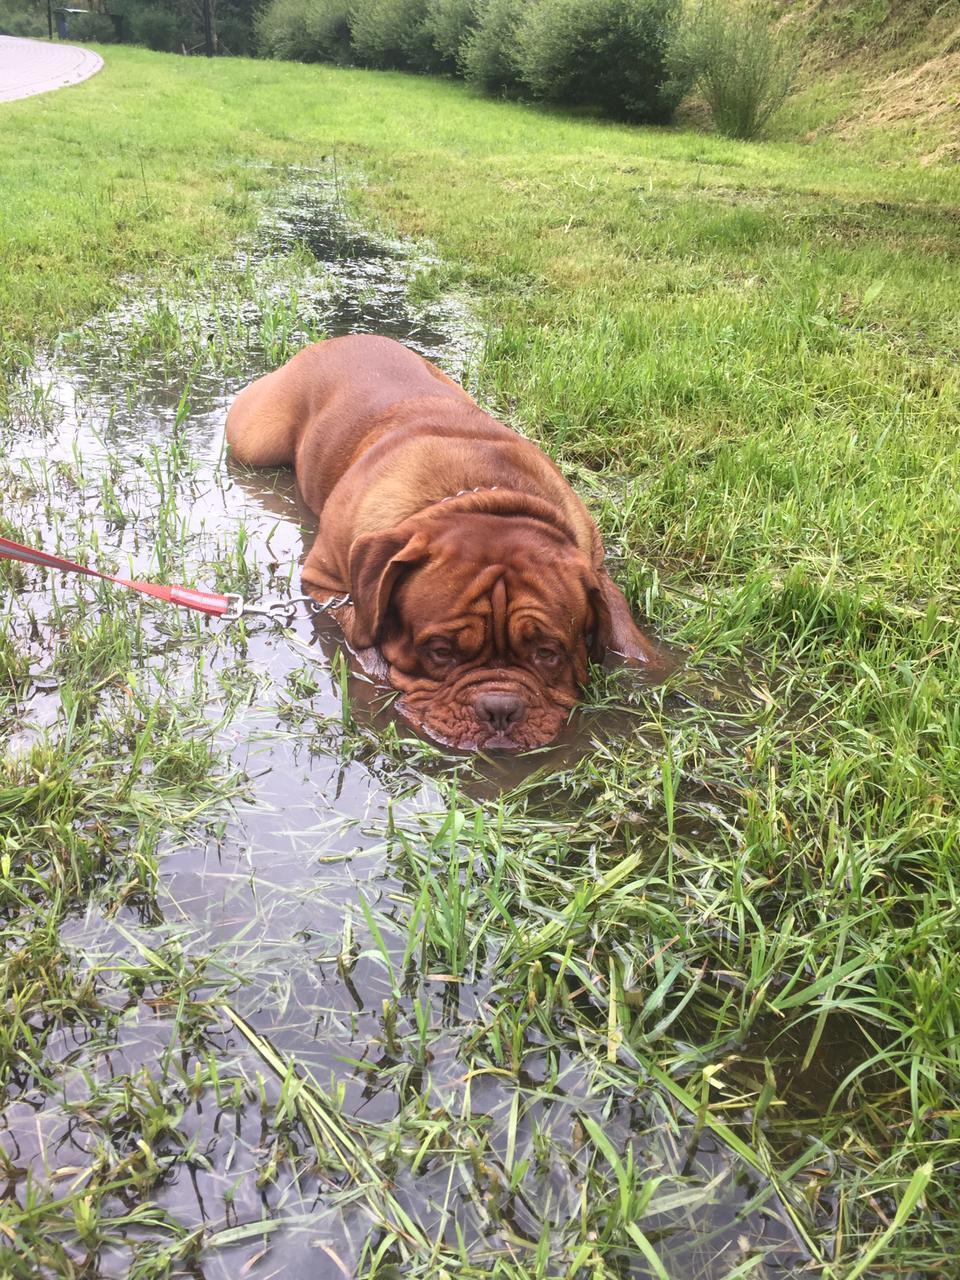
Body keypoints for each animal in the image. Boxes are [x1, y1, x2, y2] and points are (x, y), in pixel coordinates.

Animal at [226, 337, 665, 747]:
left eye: (547, 653)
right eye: (441, 652)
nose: (500, 708)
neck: (485, 499)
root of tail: (337, 339)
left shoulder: (595, 568)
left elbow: (624, 627)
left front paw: (650, 669)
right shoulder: (326, 582)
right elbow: (363, 638)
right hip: (254, 441)